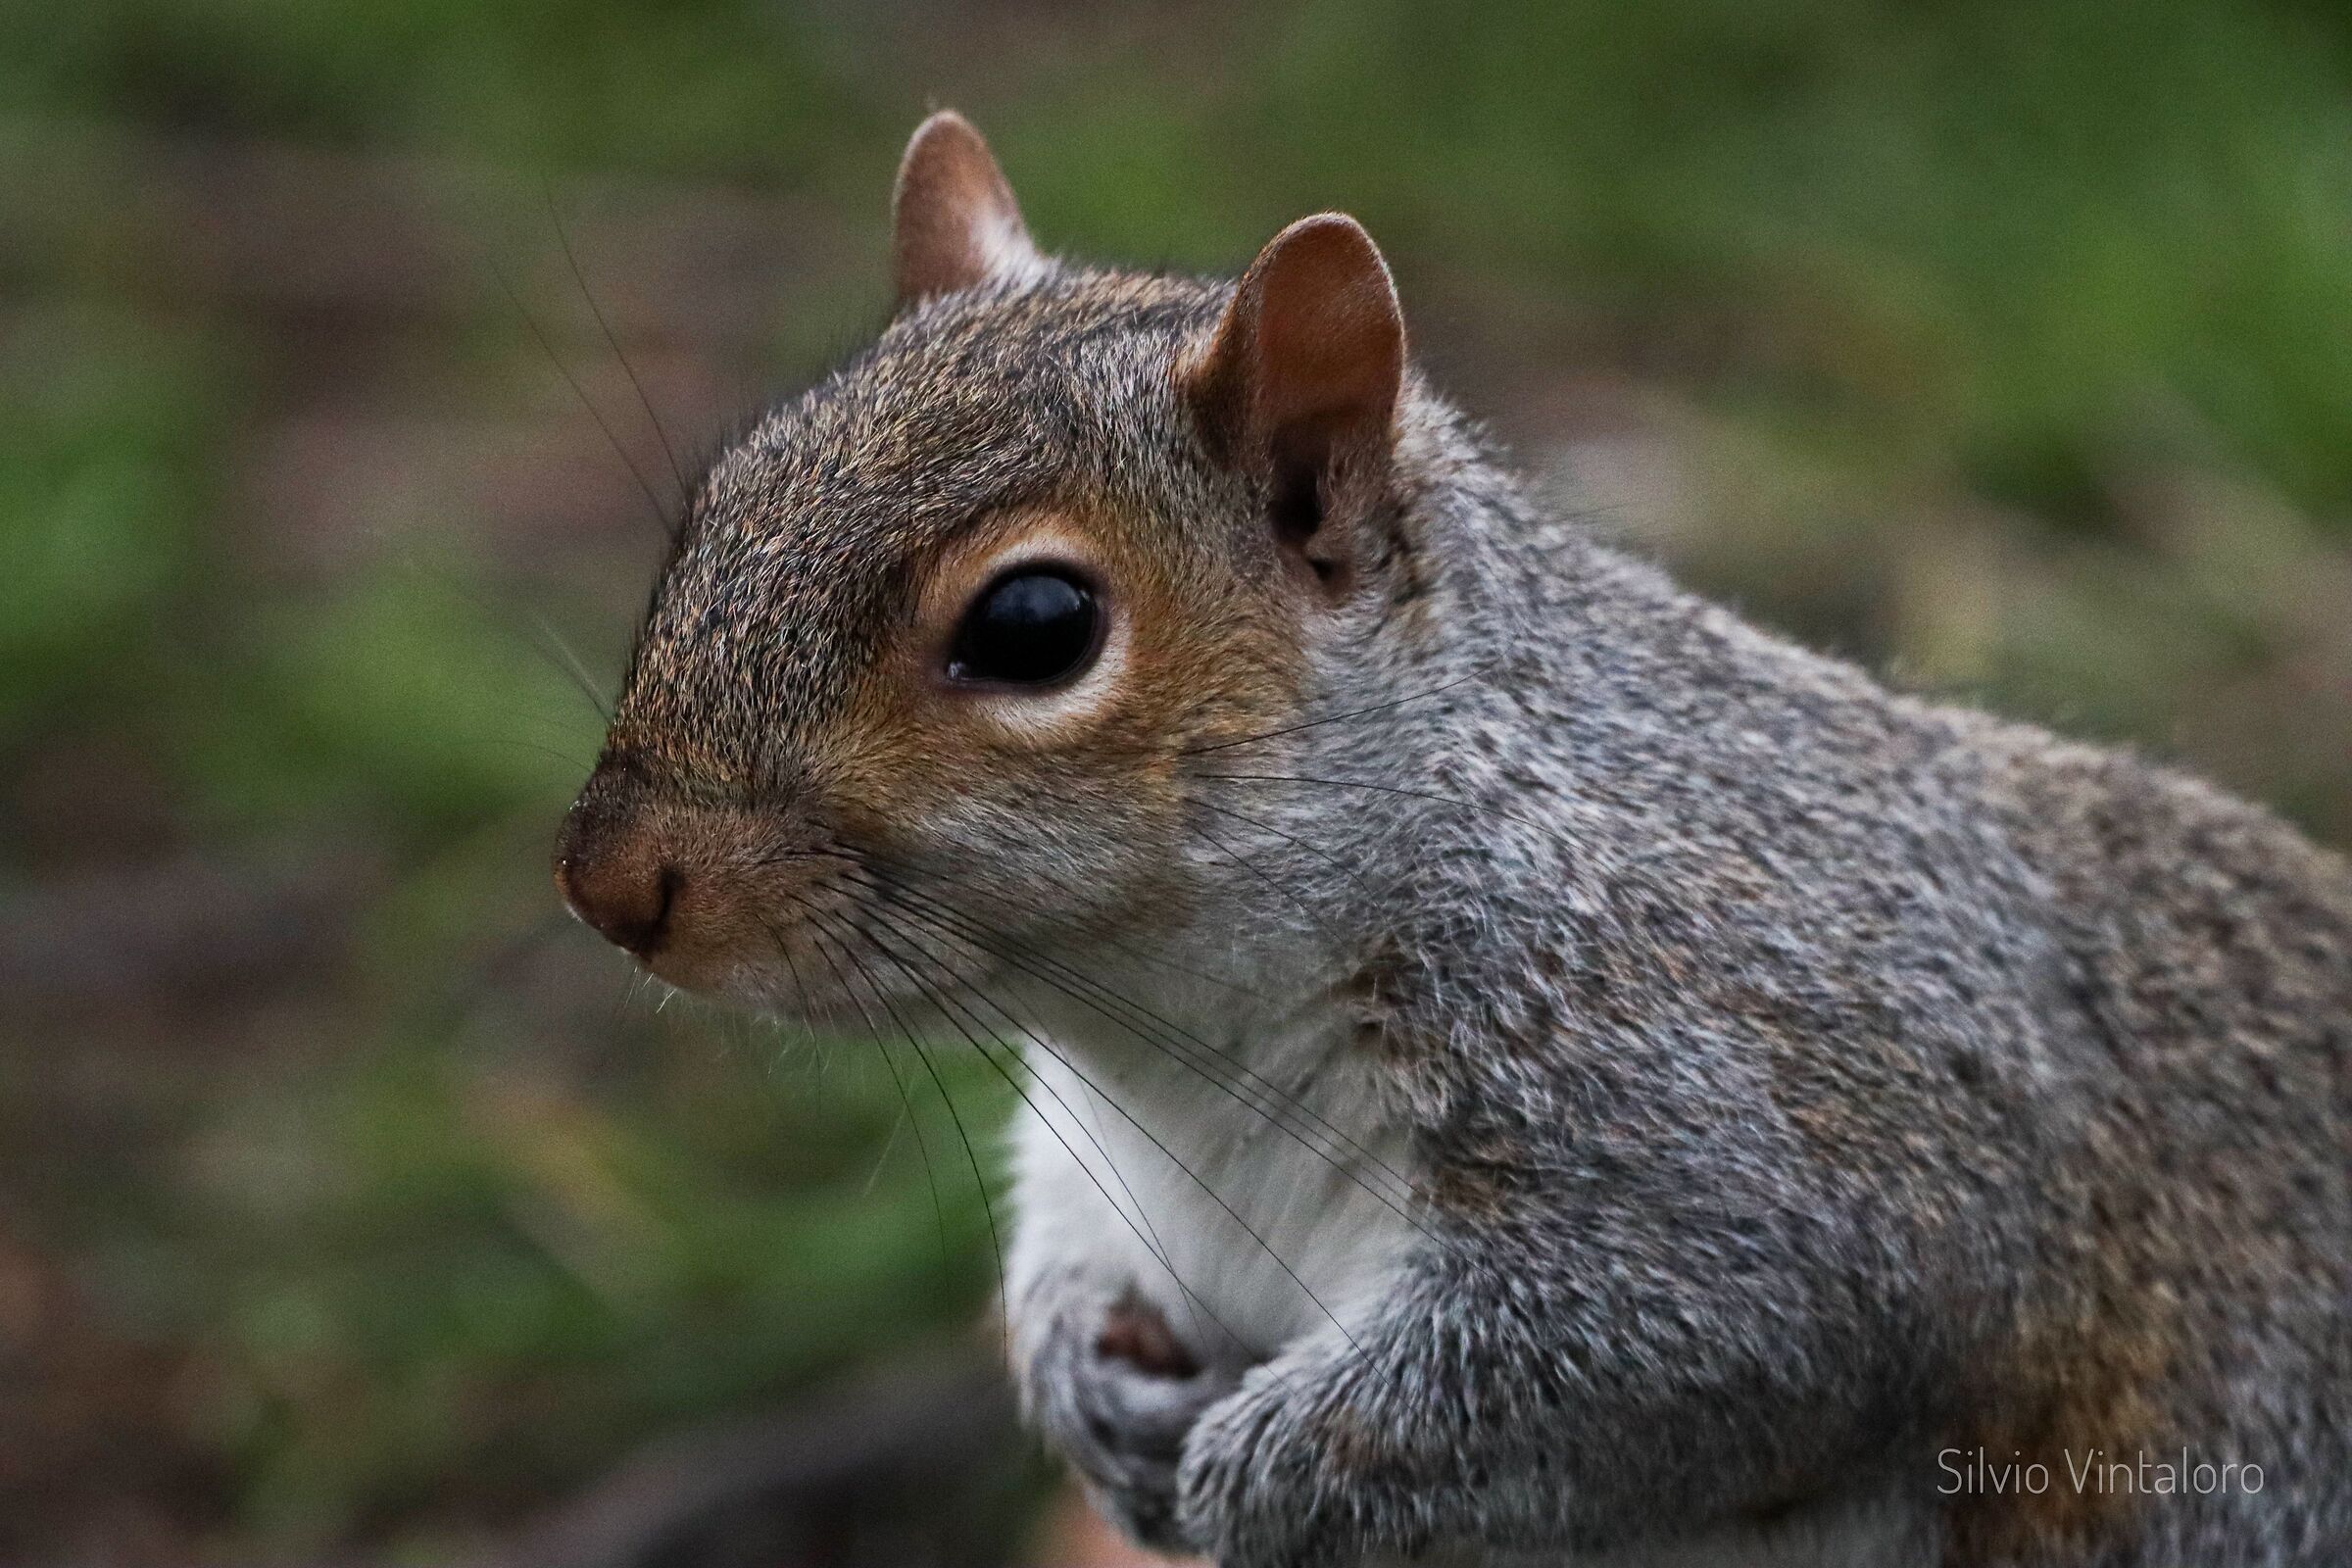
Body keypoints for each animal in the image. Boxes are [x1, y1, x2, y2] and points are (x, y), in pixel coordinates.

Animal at [552, 111, 2352, 1567]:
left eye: (1036, 626)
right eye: (718, 503)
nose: (612, 883)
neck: (1177, 1056)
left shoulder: (1759, 1114)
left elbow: (1704, 1340)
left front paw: (1262, 1475)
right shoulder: (1097, 1161)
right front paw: (1084, 1396)